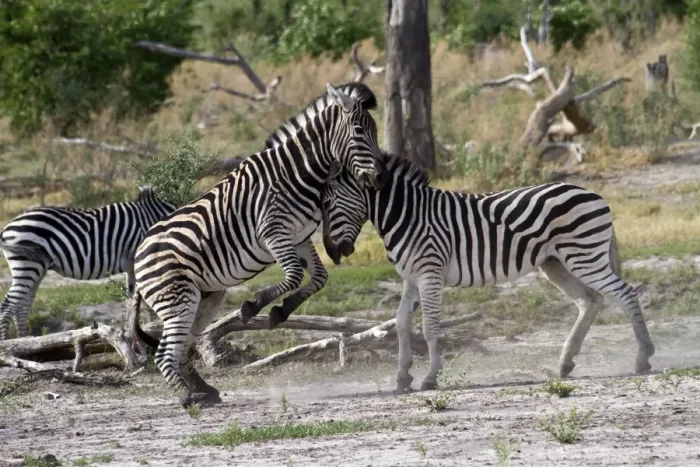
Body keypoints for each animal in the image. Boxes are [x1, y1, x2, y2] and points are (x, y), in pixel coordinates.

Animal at [0, 186, 176, 340]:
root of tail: (7, 227)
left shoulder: (131, 266)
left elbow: (131, 300)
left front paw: (136, 330)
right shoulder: (140, 261)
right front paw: (153, 327)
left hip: (36, 269)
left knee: (22, 307)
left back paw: (25, 340)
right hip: (26, 265)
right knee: (7, 307)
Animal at [129, 83, 385, 408]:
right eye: (359, 131)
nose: (380, 177)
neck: (296, 174)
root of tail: (138, 255)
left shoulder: (299, 237)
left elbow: (318, 278)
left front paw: (280, 311)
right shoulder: (273, 234)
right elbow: (294, 276)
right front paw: (255, 306)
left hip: (205, 298)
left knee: (183, 348)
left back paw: (205, 390)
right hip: (178, 299)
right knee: (164, 354)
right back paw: (189, 396)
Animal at [321, 152, 655, 393]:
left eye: (329, 203)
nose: (334, 253)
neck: (406, 214)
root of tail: (593, 194)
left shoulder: (430, 273)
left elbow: (429, 327)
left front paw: (430, 377)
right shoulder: (411, 277)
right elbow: (402, 323)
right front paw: (402, 377)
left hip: (584, 256)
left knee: (624, 293)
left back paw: (643, 357)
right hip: (557, 263)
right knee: (591, 301)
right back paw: (564, 364)